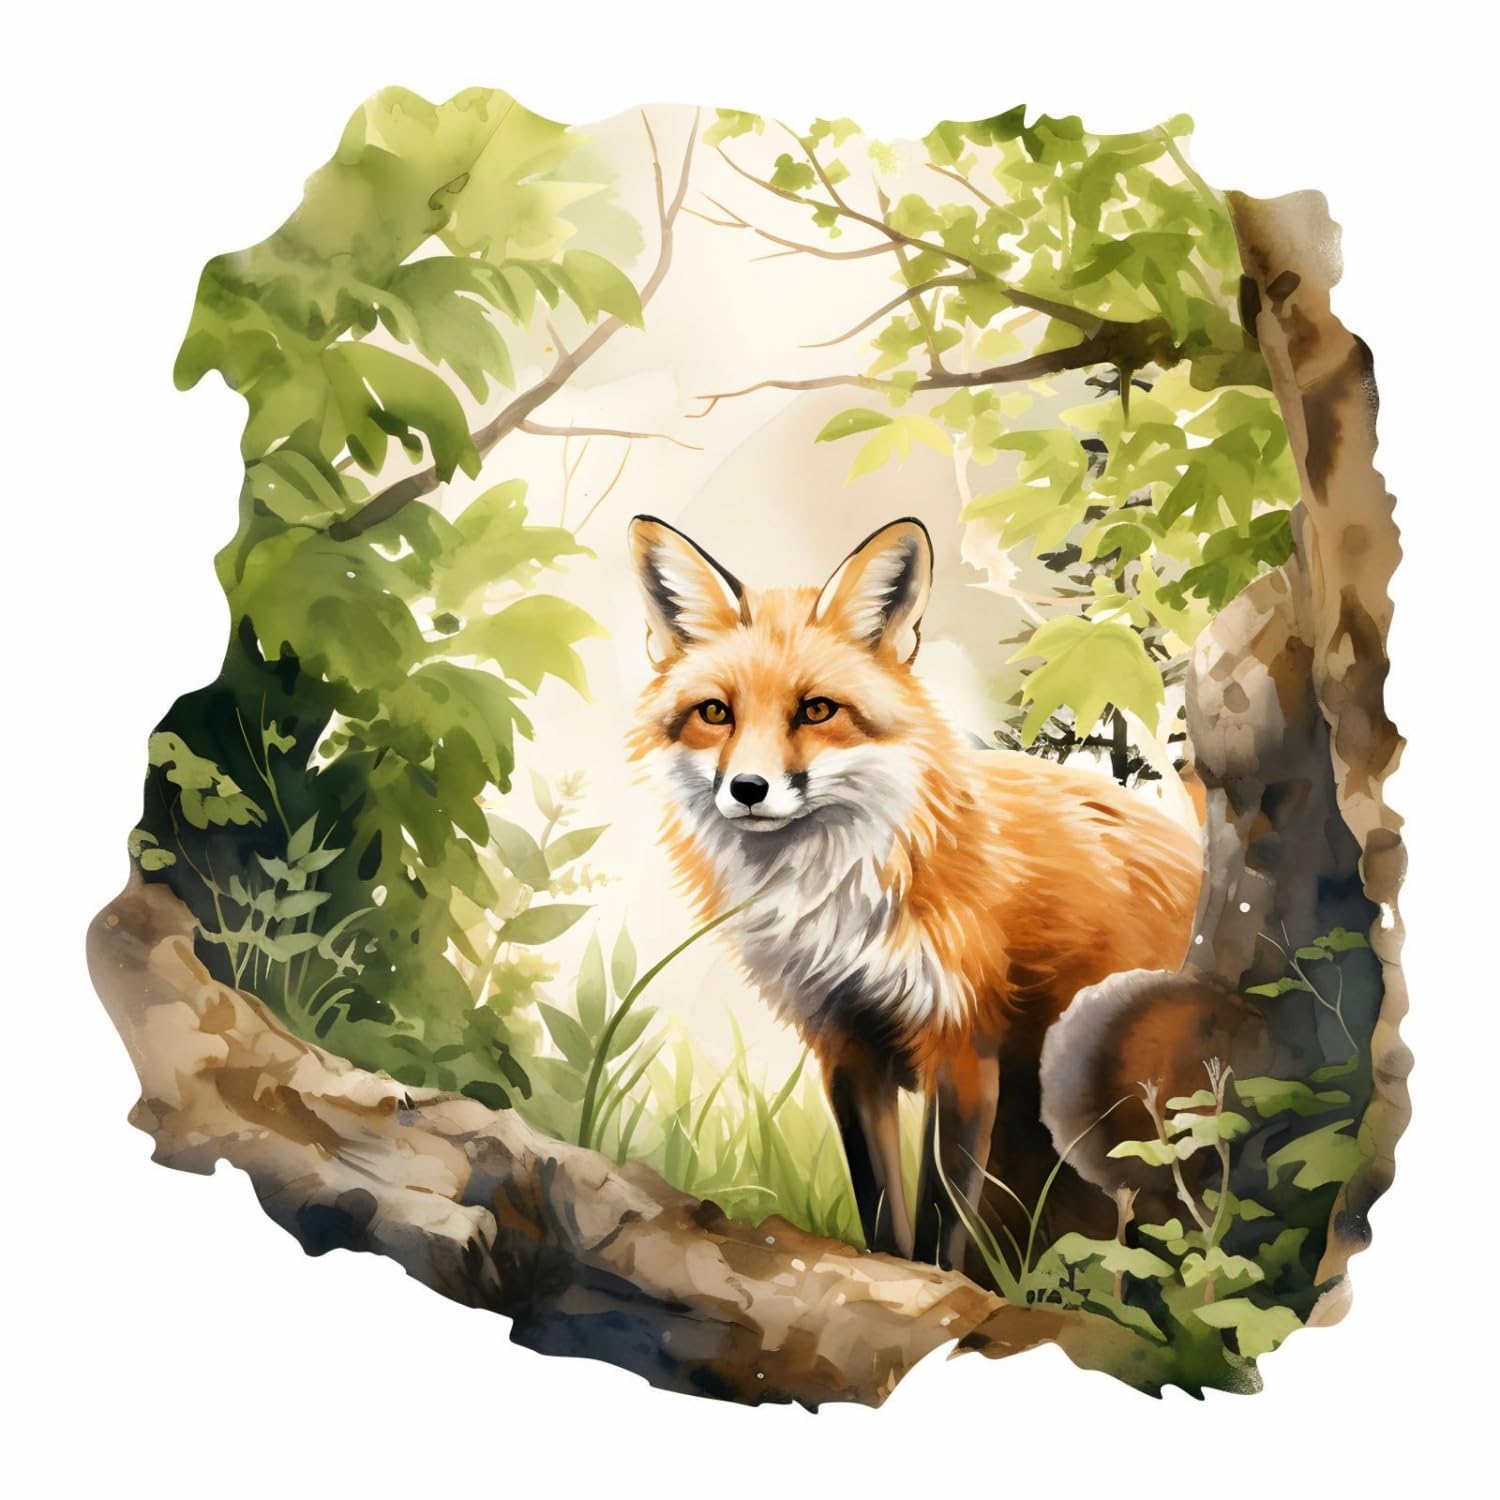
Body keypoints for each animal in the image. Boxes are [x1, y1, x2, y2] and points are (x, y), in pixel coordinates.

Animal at [625, 512, 1207, 1272]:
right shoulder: (844, 1044)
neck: (839, 903)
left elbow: (940, 1215)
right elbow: (880, 1207)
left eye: (817, 709)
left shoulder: (962, 1046)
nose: (748, 789)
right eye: (716, 712)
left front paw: (937, 1284)